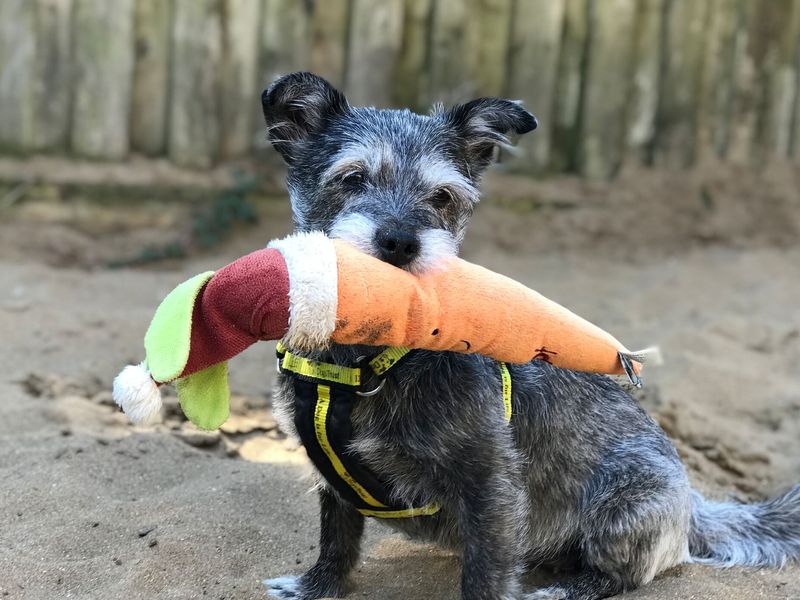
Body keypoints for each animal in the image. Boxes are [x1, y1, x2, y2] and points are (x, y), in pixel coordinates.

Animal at [260, 71, 792, 600]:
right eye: (352, 178)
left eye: (442, 197)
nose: (400, 243)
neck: (368, 362)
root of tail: (694, 502)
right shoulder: (334, 484)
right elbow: (337, 538)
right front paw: (317, 587)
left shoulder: (492, 485)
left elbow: (485, 574)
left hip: (623, 510)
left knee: (619, 575)